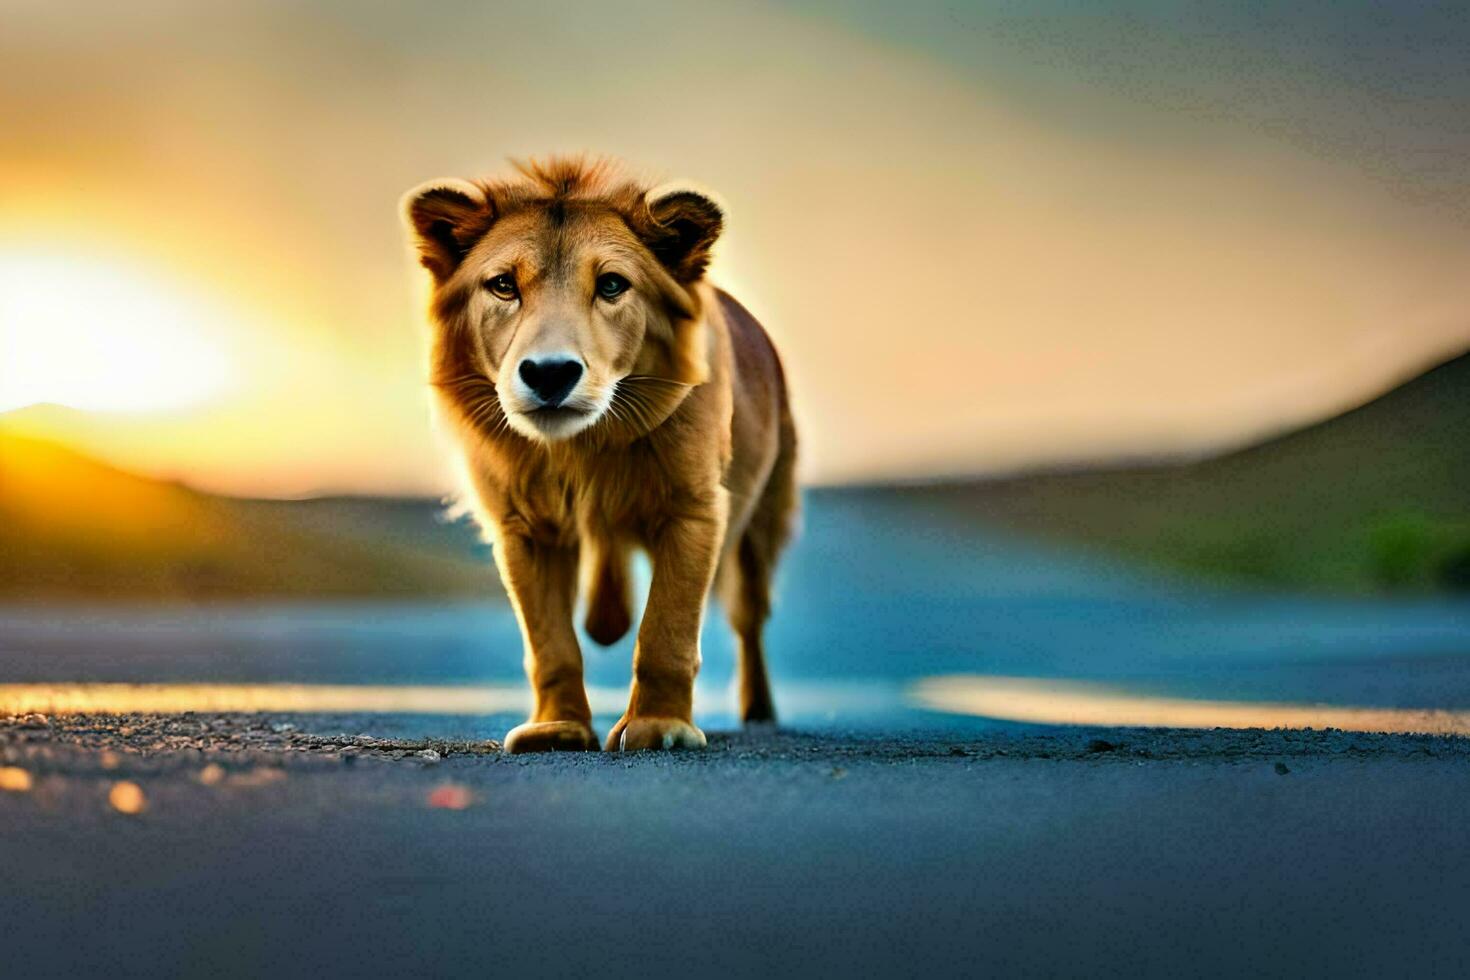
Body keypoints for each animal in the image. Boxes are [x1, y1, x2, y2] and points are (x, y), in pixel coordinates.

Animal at [396, 157, 799, 758]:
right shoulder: (524, 529)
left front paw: (659, 726)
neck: (584, 450)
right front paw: (557, 728)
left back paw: (759, 714)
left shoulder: (694, 511)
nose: (550, 373)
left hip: (757, 531)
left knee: (749, 623)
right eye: (503, 285)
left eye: (611, 285)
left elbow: (666, 632)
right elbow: (552, 644)